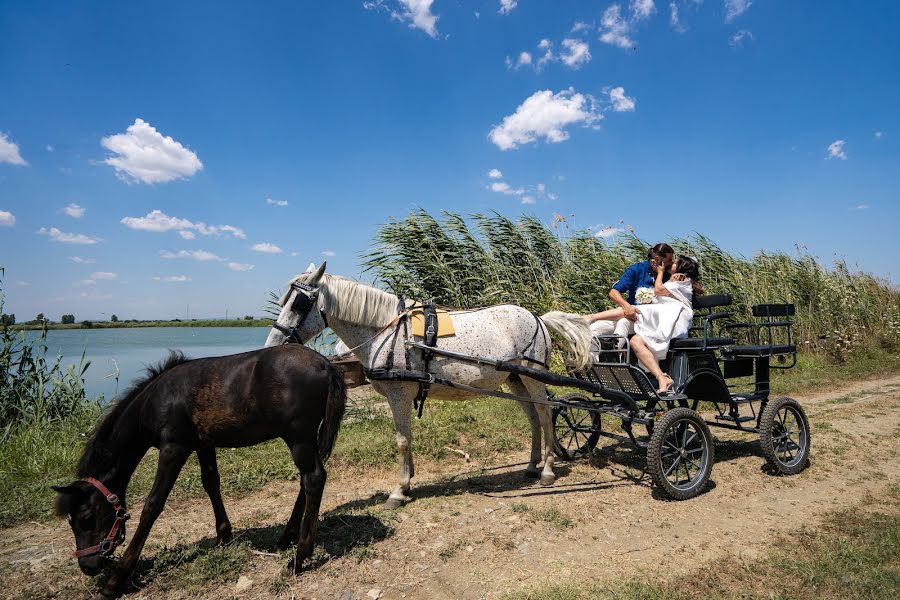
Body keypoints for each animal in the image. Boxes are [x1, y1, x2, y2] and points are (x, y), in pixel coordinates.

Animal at [52, 344, 346, 596]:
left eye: (86, 518)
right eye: (71, 521)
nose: (88, 567)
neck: (156, 400)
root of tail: (326, 365)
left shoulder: (174, 448)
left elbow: (153, 505)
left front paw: (116, 579)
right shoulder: (204, 444)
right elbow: (211, 482)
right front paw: (224, 535)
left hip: (298, 438)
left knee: (313, 478)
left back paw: (299, 557)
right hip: (304, 439)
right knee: (306, 481)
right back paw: (287, 538)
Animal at [266, 262, 592, 506]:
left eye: (299, 303)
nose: (273, 344)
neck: (389, 331)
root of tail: (538, 317)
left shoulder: (398, 394)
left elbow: (401, 441)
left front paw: (398, 491)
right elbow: (406, 438)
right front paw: (408, 482)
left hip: (532, 377)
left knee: (546, 415)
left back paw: (547, 471)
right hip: (515, 380)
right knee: (534, 418)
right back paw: (532, 465)